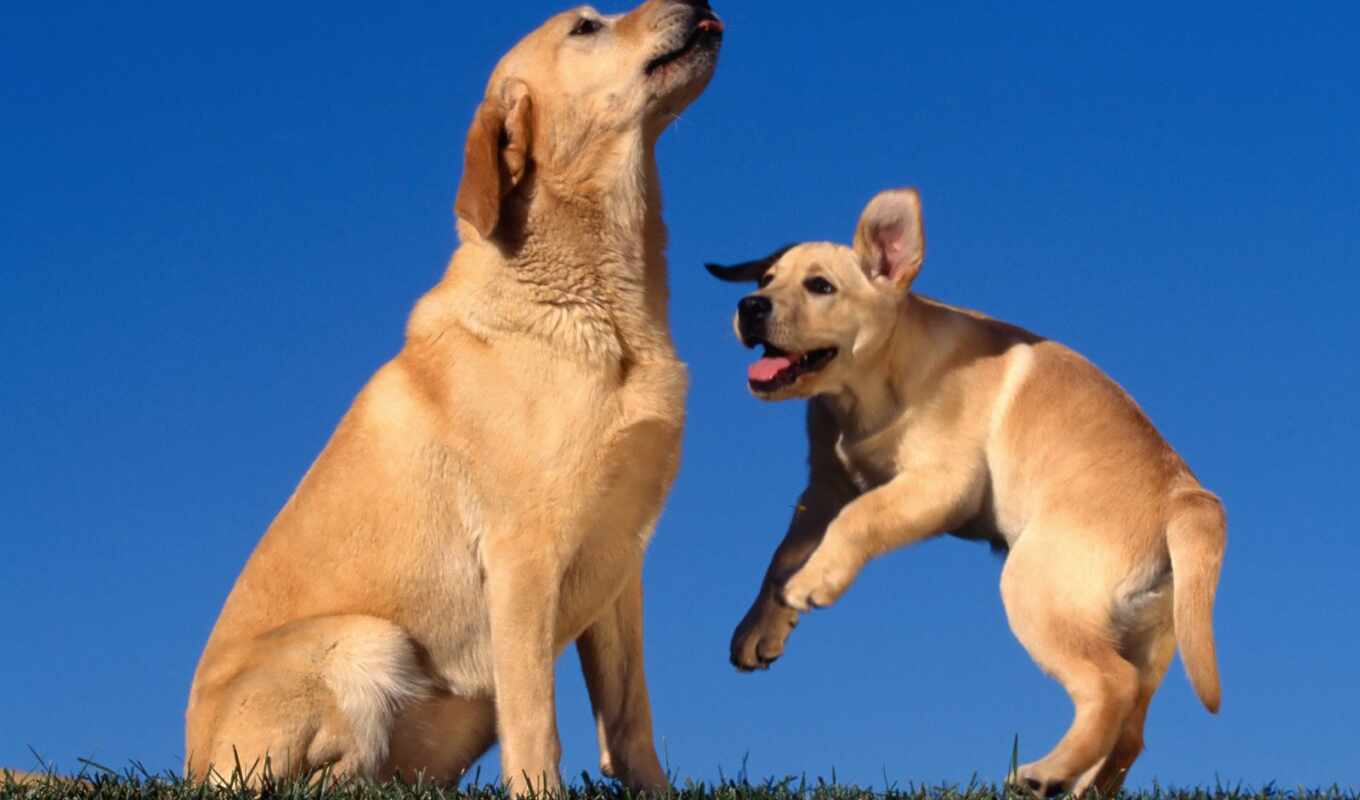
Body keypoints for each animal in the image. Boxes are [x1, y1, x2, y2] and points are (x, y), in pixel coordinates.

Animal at [187, 1, 728, 794]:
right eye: (586, 27)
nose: (698, 5)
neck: (600, 301)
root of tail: (188, 760)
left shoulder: (620, 561)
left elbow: (631, 720)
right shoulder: (523, 558)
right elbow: (537, 723)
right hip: (365, 642)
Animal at [707, 187, 1229, 794]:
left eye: (820, 286)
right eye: (765, 279)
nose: (750, 307)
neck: (867, 388)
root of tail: (1185, 498)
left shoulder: (939, 484)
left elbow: (859, 518)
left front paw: (816, 581)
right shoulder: (823, 487)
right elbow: (781, 557)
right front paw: (759, 629)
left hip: (1036, 589)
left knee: (1109, 686)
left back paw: (1043, 773)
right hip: (1149, 633)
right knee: (1129, 733)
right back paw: (1073, 784)